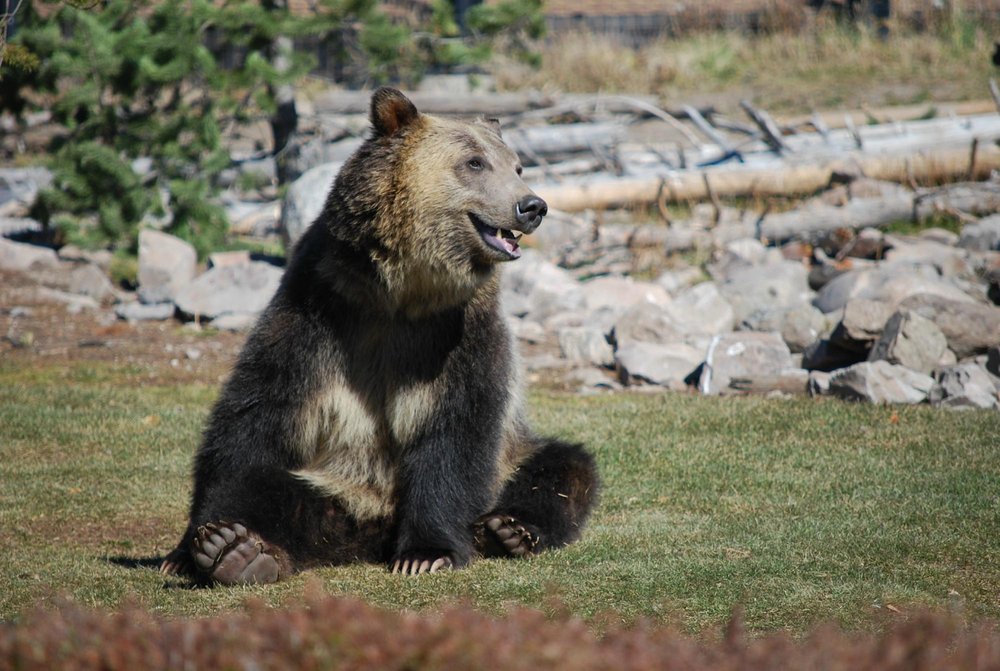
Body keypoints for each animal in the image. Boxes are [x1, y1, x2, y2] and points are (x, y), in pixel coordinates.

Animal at [159, 87, 599, 585]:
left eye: (517, 165)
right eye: (475, 162)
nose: (533, 206)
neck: (402, 290)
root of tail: (374, 527)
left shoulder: (458, 331)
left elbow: (456, 430)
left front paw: (426, 552)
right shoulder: (320, 306)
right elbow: (253, 421)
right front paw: (189, 546)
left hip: (513, 453)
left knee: (564, 467)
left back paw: (510, 529)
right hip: (337, 486)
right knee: (272, 488)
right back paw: (238, 549)